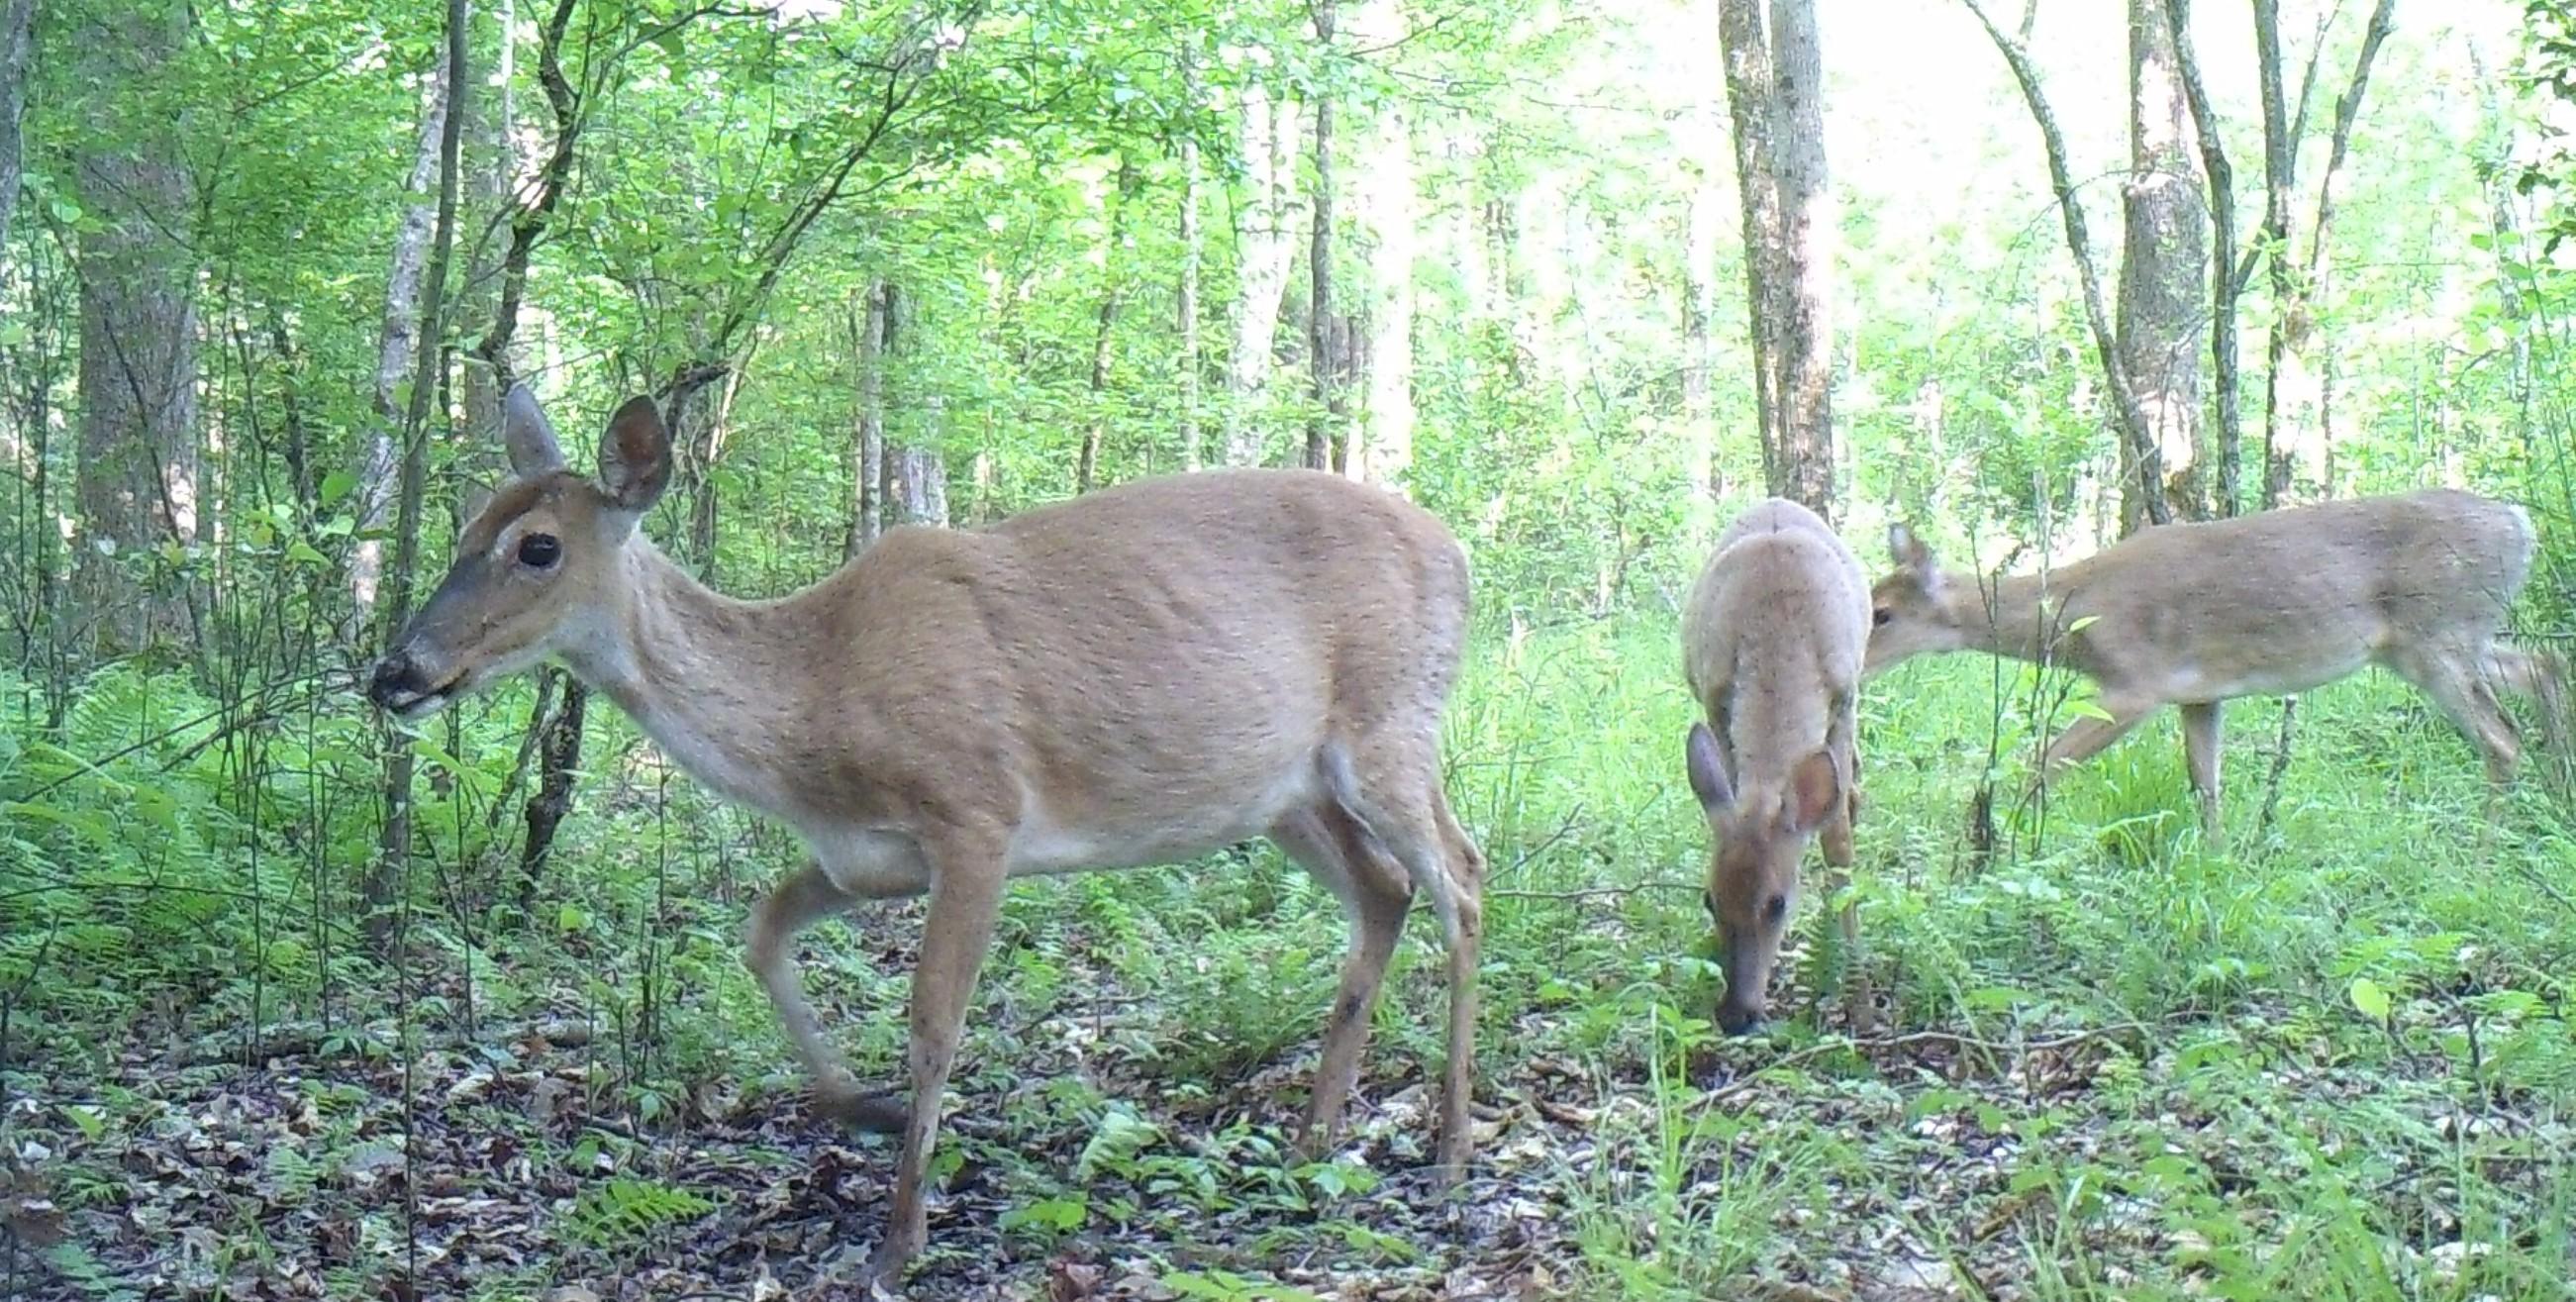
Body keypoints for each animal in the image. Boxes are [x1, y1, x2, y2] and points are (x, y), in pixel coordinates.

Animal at [366, 385, 1486, 1287]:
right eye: (466, 526)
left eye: (537, 547)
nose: (395, 672)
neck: (816, 697)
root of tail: (1458, 551)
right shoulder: (863, 859)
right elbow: (761, 931)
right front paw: (863, 1108)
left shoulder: (977, 812)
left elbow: (933, 1020)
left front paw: (898, 1240)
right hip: (1283, 794)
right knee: (1385, 889)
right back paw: (1314, 1134)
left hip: (1390, 721)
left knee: (1462, 878)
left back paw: (1450, 1147)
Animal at [1682, 497, 1872, 1037]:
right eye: (1709, 899)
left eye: (1777, 903)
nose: (1735, 1014)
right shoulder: (1715, 698)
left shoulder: (1844, 698)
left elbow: (1838, 841)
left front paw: (1860, 997)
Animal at [1866, 488, 2564, 844]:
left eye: (1881, 613)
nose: (1852, 659)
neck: (2077, 615)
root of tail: (2523, 524)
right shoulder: (2198, 694)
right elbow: (2206, 786)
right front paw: (2217, 862)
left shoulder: (2135, 683)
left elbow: (2042, 763)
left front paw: (1990, 844)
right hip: (2452, 637)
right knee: (2545, 664)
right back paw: (2560, 795)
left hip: (2434, 635)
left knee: (2502, 737)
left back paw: (2485, 849)